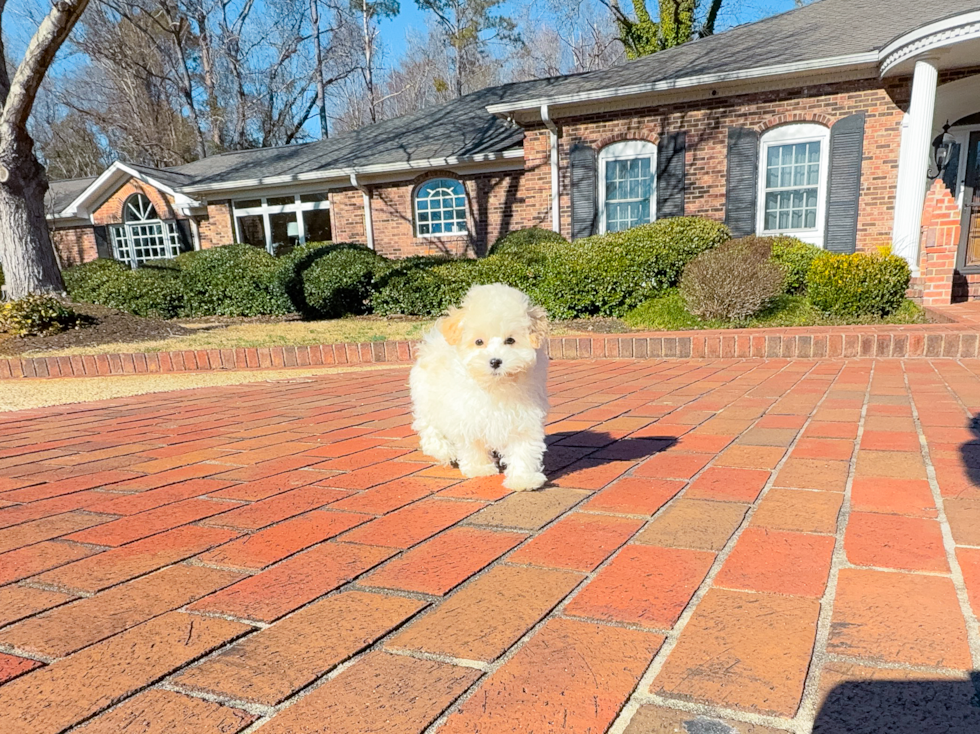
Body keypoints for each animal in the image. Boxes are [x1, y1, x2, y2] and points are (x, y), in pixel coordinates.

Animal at [408, 284, 552, 492]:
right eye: (478, 342)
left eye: (510, 340)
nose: (495, 361)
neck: (495, 386)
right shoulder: (467, 415)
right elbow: (472, 443)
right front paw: (479, 468)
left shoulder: (525, 417)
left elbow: (523, 448)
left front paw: (523, 479)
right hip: (427, 402)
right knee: (429, 429)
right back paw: (444, 451)